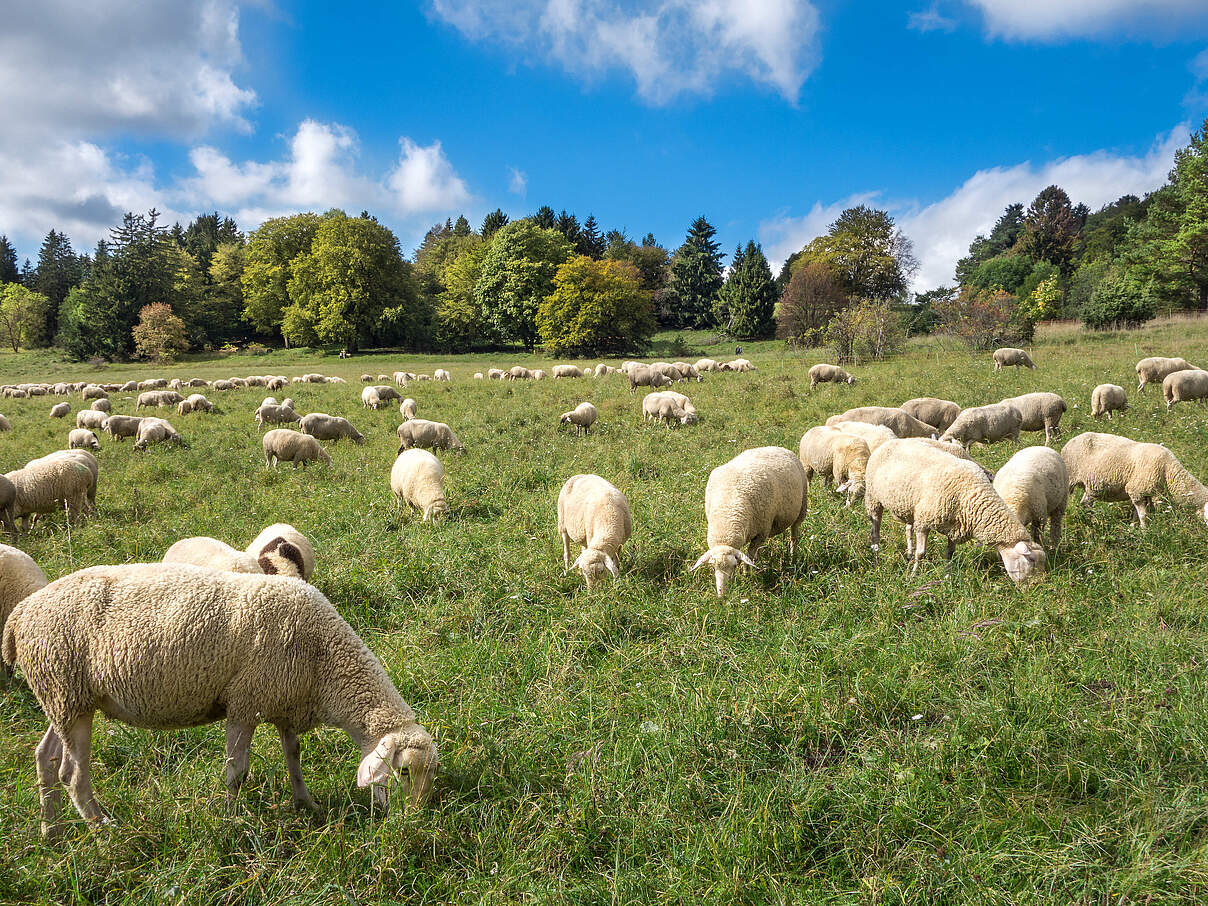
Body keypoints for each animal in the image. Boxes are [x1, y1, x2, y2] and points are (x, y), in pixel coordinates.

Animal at [1, 563, 437, 836]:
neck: (324, 661)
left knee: (45, 757)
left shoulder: (284, 702)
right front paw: (230, 818)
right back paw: (102, 828)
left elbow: (293, 757)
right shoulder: (245, 704)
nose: (413, 823)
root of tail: (20, 614)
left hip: (63, 696)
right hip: (65, 692)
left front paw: (306, 804)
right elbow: (237, 772)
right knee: (73, 775)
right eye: (402, 772)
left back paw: (52, 830)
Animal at [691, 447, 808, 598]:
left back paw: (793, 556)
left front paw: (746, 574)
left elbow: (750, 556)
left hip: (801, 507)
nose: (722, 596)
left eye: (734, 566)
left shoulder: (761, 533)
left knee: (794, 536)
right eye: (712, 567)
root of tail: (777, 447)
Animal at [863, 438, 1045, 583]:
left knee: (907, 529)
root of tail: (889, 442)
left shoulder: (955, 527)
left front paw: (947, 578)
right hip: (873, 498)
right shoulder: (923, 522)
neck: (971, 496)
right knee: (875, 532)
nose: (1036, 587)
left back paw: (907, 554)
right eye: (1031, 560)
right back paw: (876, 559)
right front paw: (913, 576)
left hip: (907, 506)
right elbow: (921, 553)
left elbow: (949, 553)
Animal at [1062, 431, 1208, 528]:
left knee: (1086, 503)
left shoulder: (1144, 493)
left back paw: (1091, 521)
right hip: (1069, 479)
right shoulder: (1136, 489)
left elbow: (1137, 513)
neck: (1168, 472)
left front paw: (1133, 526)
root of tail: (1069, 442)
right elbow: (1143, 515)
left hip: (1090, 486)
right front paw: (1144, 531)